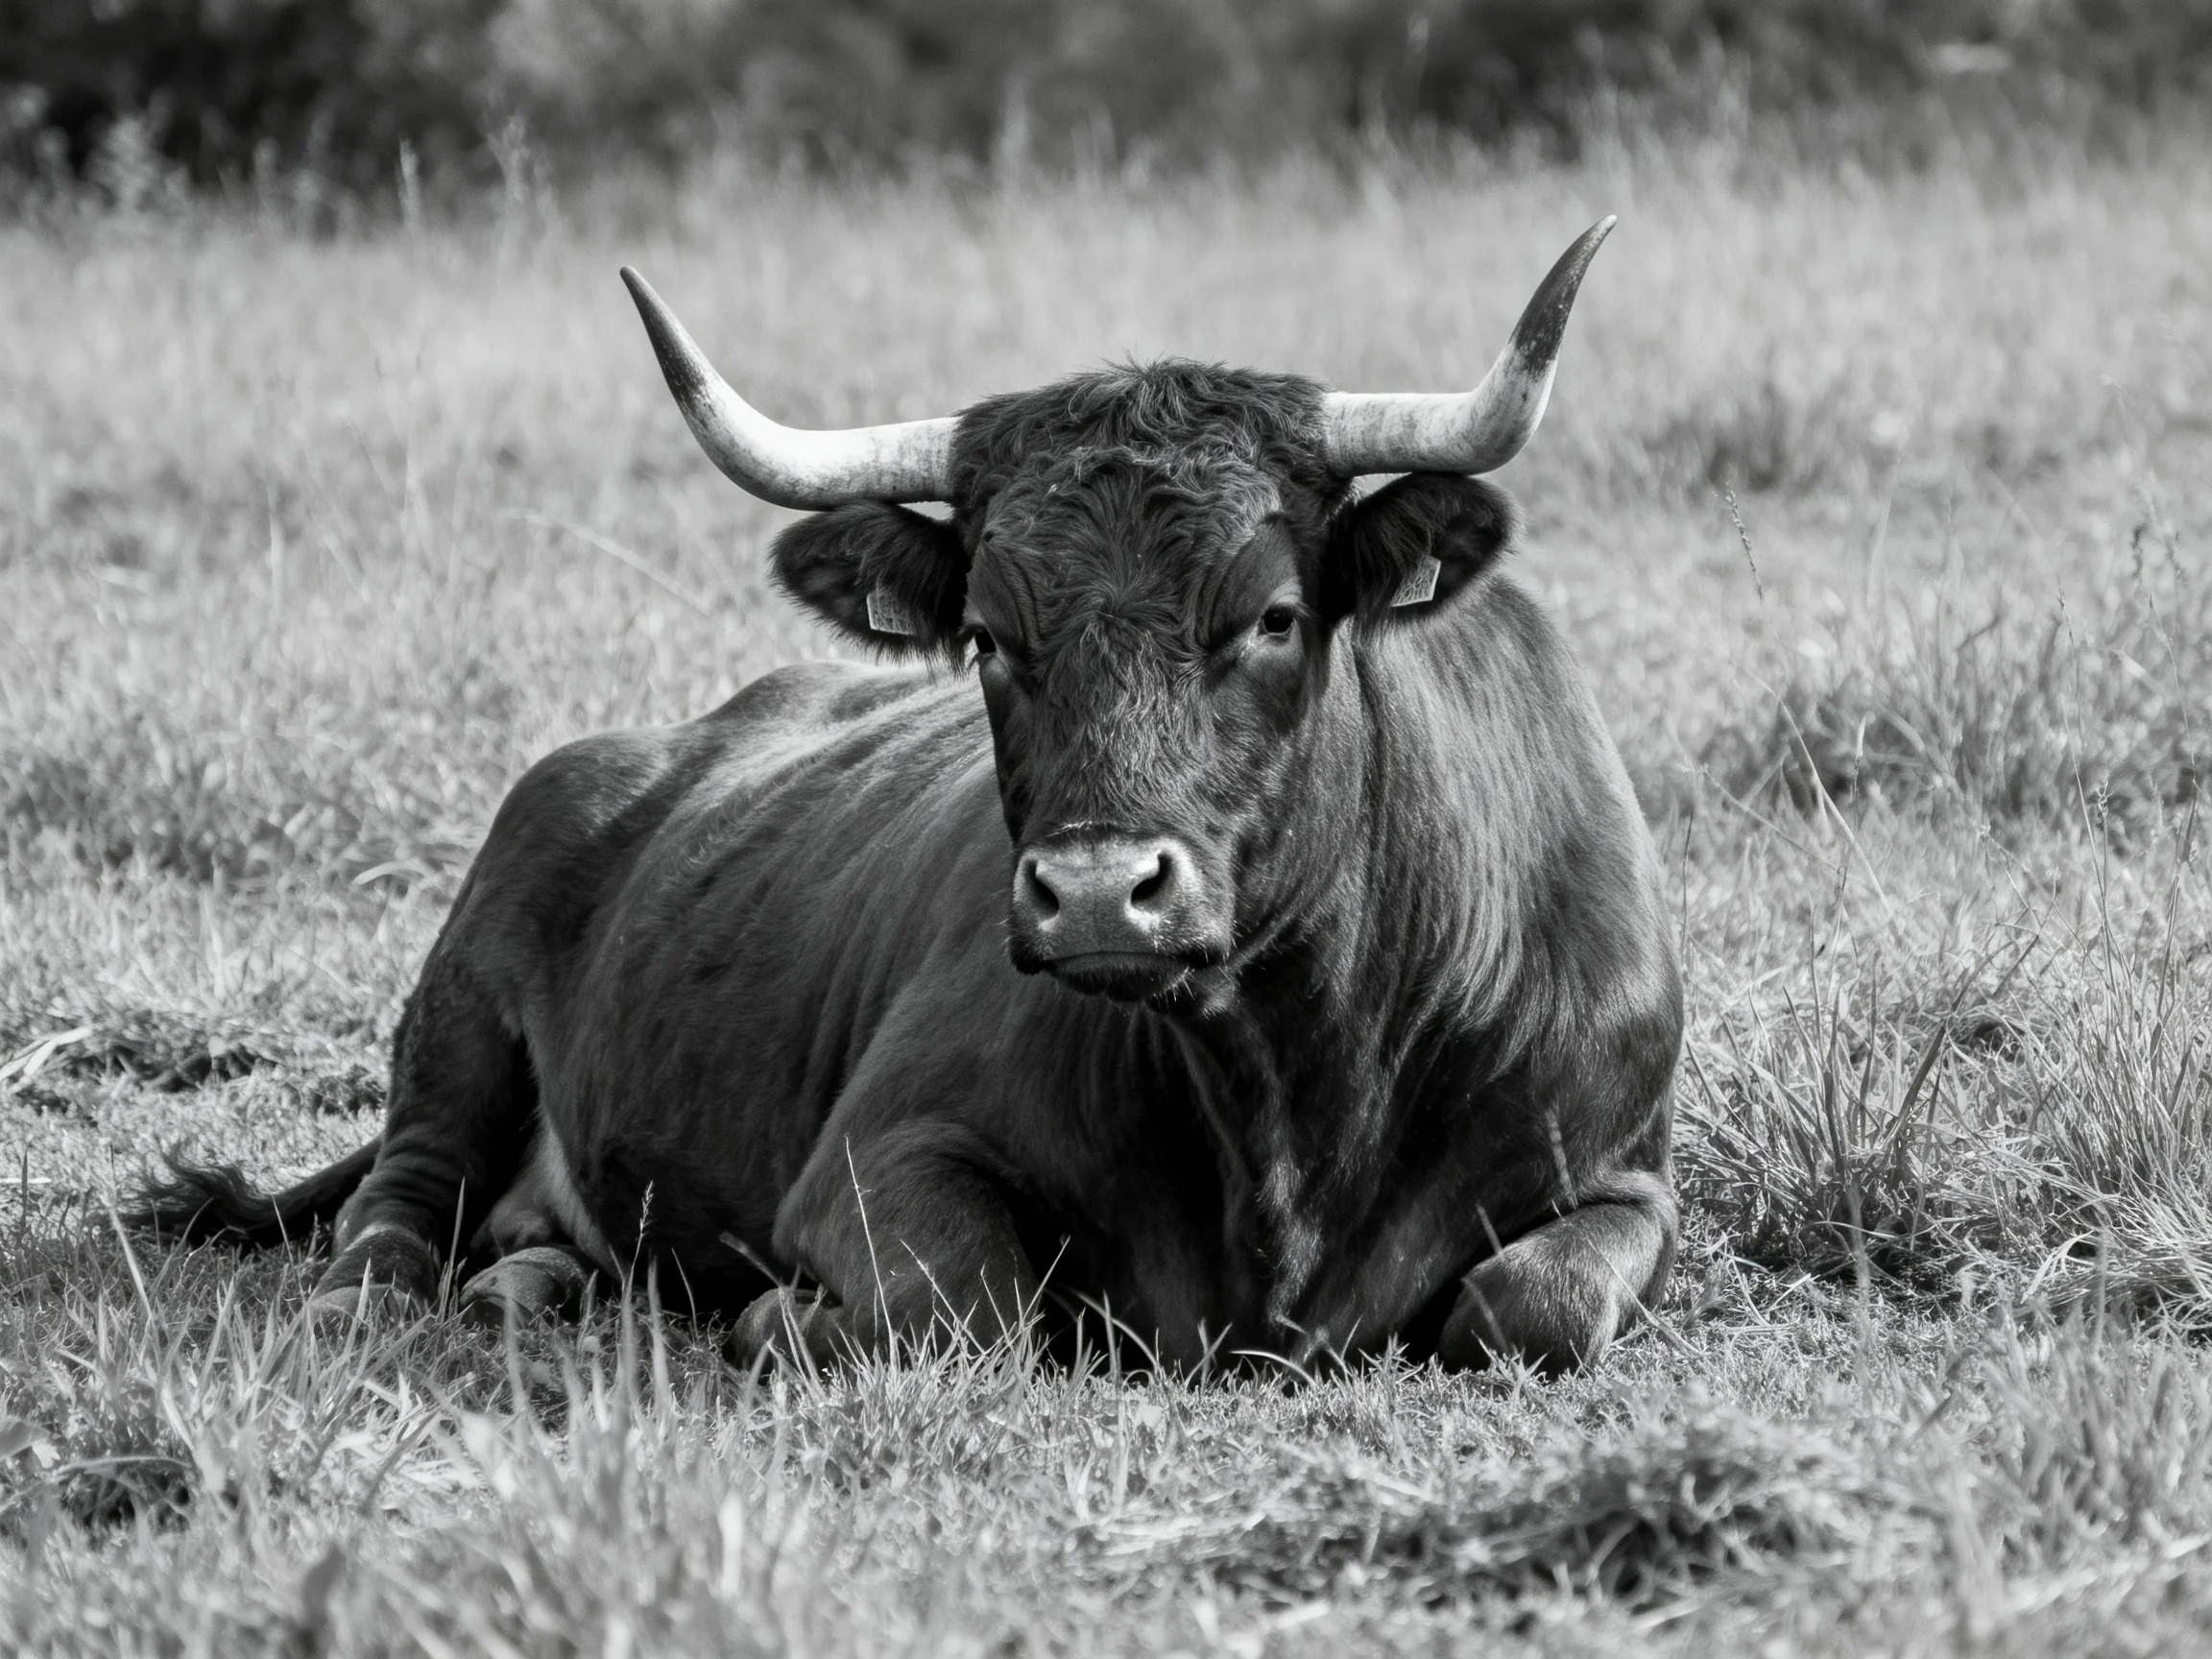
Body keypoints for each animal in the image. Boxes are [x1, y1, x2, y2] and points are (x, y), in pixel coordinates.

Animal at [133, 218, 1681, 1375]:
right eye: (987, 635)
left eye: (1276, 615)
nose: (1097, 894)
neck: (1292, 1103)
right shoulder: (878, 1155)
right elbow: (967, 1307)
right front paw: (776, 1313)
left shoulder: (1624, 1176)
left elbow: (1530, 1307)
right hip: (454, 1031)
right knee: (393, 1206)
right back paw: (386, 1299)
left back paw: (535, 1286)